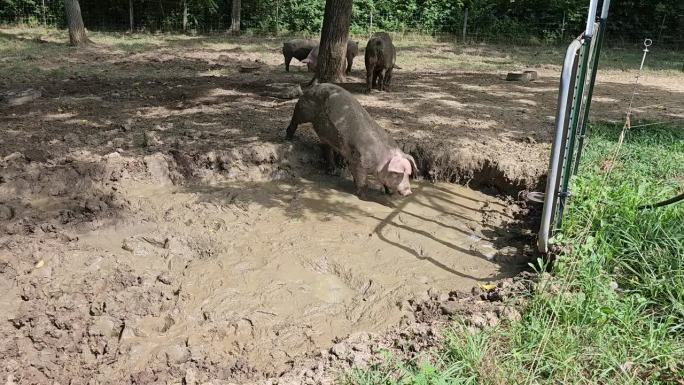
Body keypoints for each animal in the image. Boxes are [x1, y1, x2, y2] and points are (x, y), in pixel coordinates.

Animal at [284, 83, 416, 198]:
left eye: (408, 174)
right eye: (397, 173)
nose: (409, 192)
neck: (380, 159)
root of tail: (315, 86)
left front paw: (389, 193)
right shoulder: (358, 162)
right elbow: (361, 180)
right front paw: (363, 196)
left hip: (326, 134)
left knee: (327, 147)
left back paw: (332, 171)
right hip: (304, 109)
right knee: (295, 120)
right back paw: (288, 138)